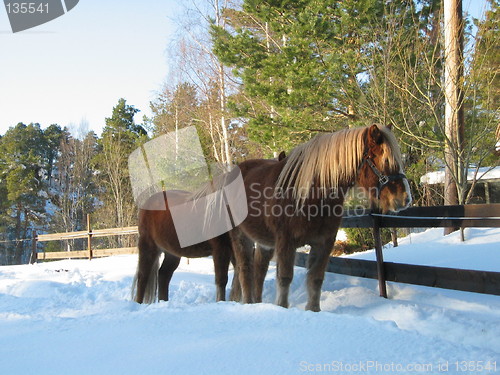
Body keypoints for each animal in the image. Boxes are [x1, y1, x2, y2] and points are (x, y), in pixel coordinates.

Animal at [229, 124, 410, 312]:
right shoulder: (286, 241)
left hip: (264, 242)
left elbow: (315, 279)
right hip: (240, 235)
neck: (311, 194)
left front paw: (313, 310)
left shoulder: (324, 242)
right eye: (386, 160)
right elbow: (285, 278)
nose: (405, 199)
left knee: (259, 271)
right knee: (245, 270)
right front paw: (283, 308)